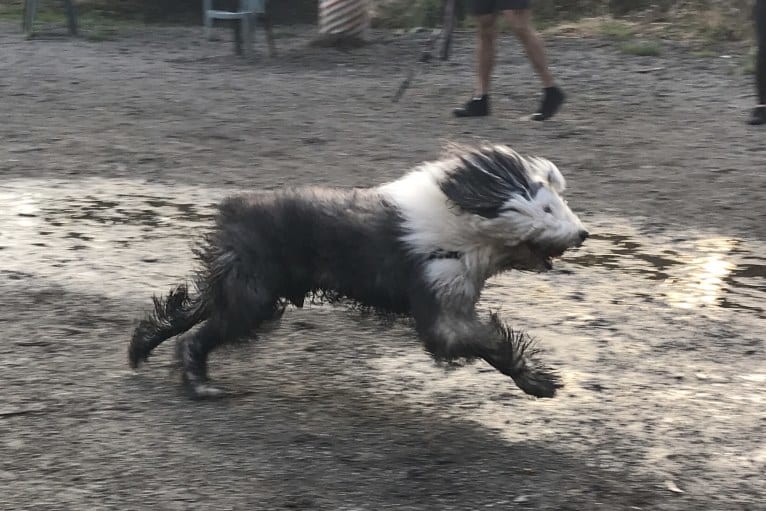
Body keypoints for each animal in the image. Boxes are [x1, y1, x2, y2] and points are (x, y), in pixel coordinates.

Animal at [129, 143, 592, 400]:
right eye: (546, 208)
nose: (583, 233)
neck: (464, 228)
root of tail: (232, 210)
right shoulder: (441, 309)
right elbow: (490, 343)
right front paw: (540, 382)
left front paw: (536, 380)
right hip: (252, 299)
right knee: (195, 336)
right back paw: (200, 386)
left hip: (240, 290)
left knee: (184, 315)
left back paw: (144, 347)